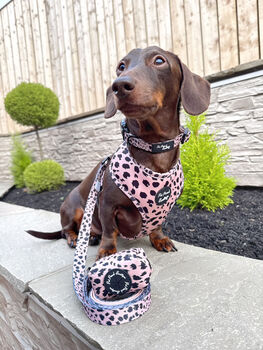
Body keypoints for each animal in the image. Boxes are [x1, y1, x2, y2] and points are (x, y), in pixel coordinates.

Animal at [27, 45, 210, 260]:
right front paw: (107, 251)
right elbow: (109, 230)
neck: (154, 148)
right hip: (73, 208)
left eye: (159, 60)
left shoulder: (162, 210)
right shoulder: (106, 205)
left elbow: (156, 226)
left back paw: (91, 236)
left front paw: (160, 239)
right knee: (67, 229)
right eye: (121, 66)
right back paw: (76, 238)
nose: (119, 85)